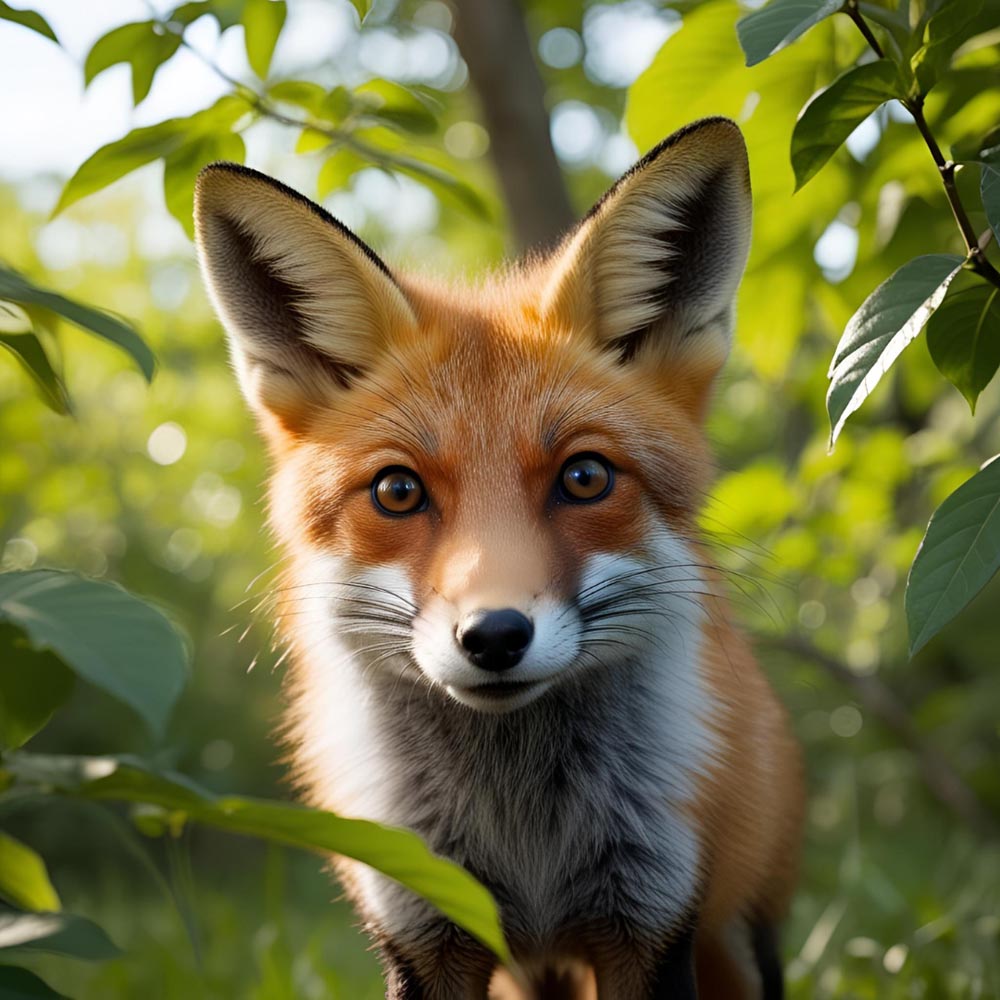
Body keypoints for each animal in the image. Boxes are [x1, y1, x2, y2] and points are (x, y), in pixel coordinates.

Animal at [193, 116, 804, 999]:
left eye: (585, 478)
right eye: (398, 492)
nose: (494, 636)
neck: (526, 838)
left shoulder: (652, 921)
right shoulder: (424, 930)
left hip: (738, 935)